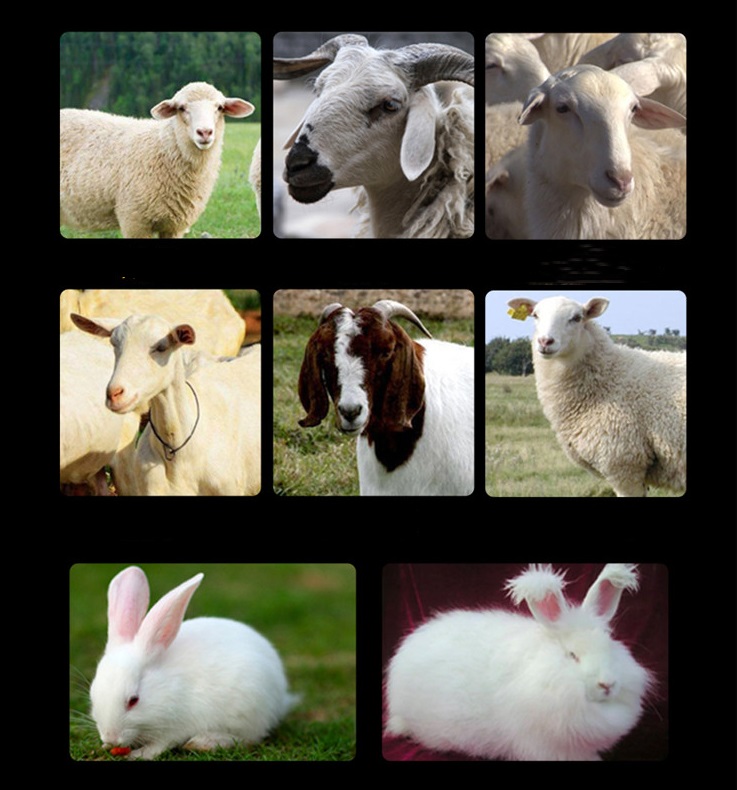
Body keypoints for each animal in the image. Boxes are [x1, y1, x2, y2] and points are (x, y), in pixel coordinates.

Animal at [60, 82, 254, 238]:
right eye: (181, 108)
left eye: (220, 107)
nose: (205, 132)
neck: (164, 147)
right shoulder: (134, 220)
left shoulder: (174, 226)